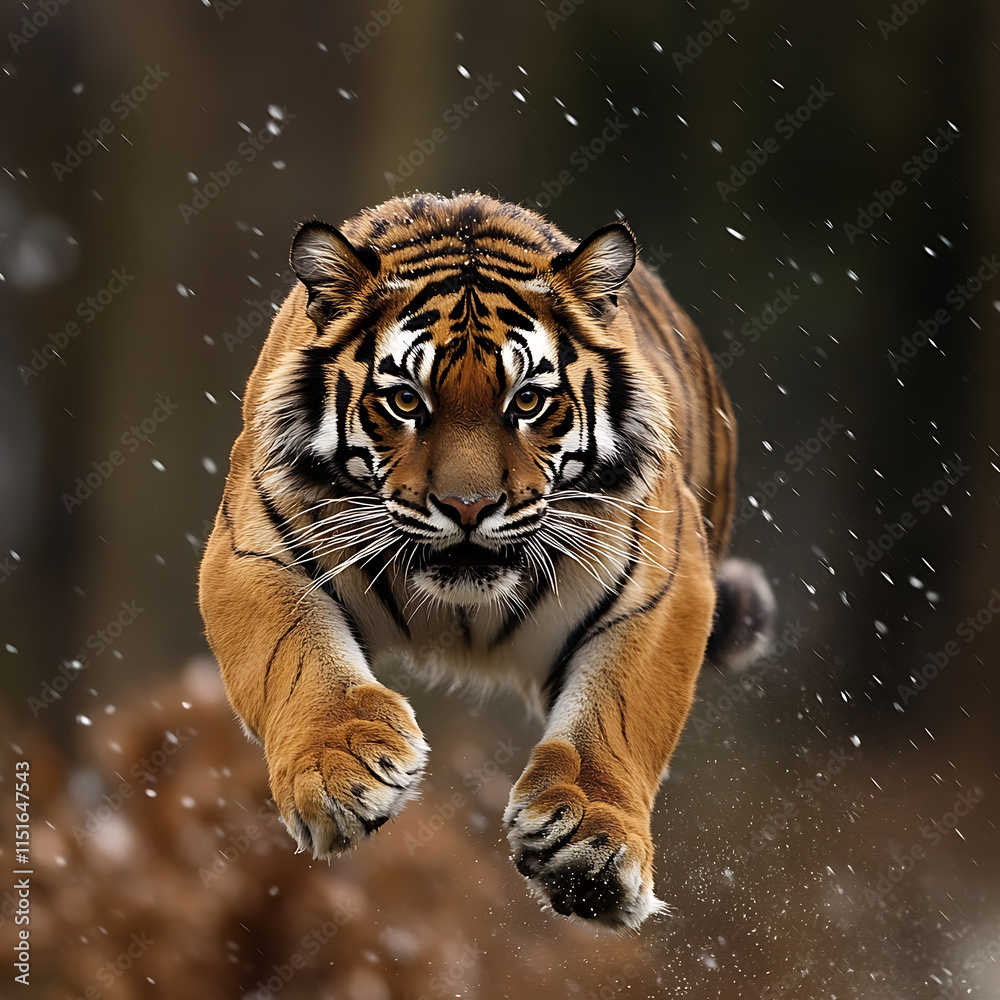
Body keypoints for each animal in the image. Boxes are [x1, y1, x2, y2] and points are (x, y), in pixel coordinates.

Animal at [198, 191, 774, 931]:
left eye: (527, 400)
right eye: (405, 400)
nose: (467, 507)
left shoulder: (661, 590)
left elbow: (615, 719)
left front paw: (591, 841)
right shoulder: (255, 552)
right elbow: (298, 662)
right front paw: (341, 769)